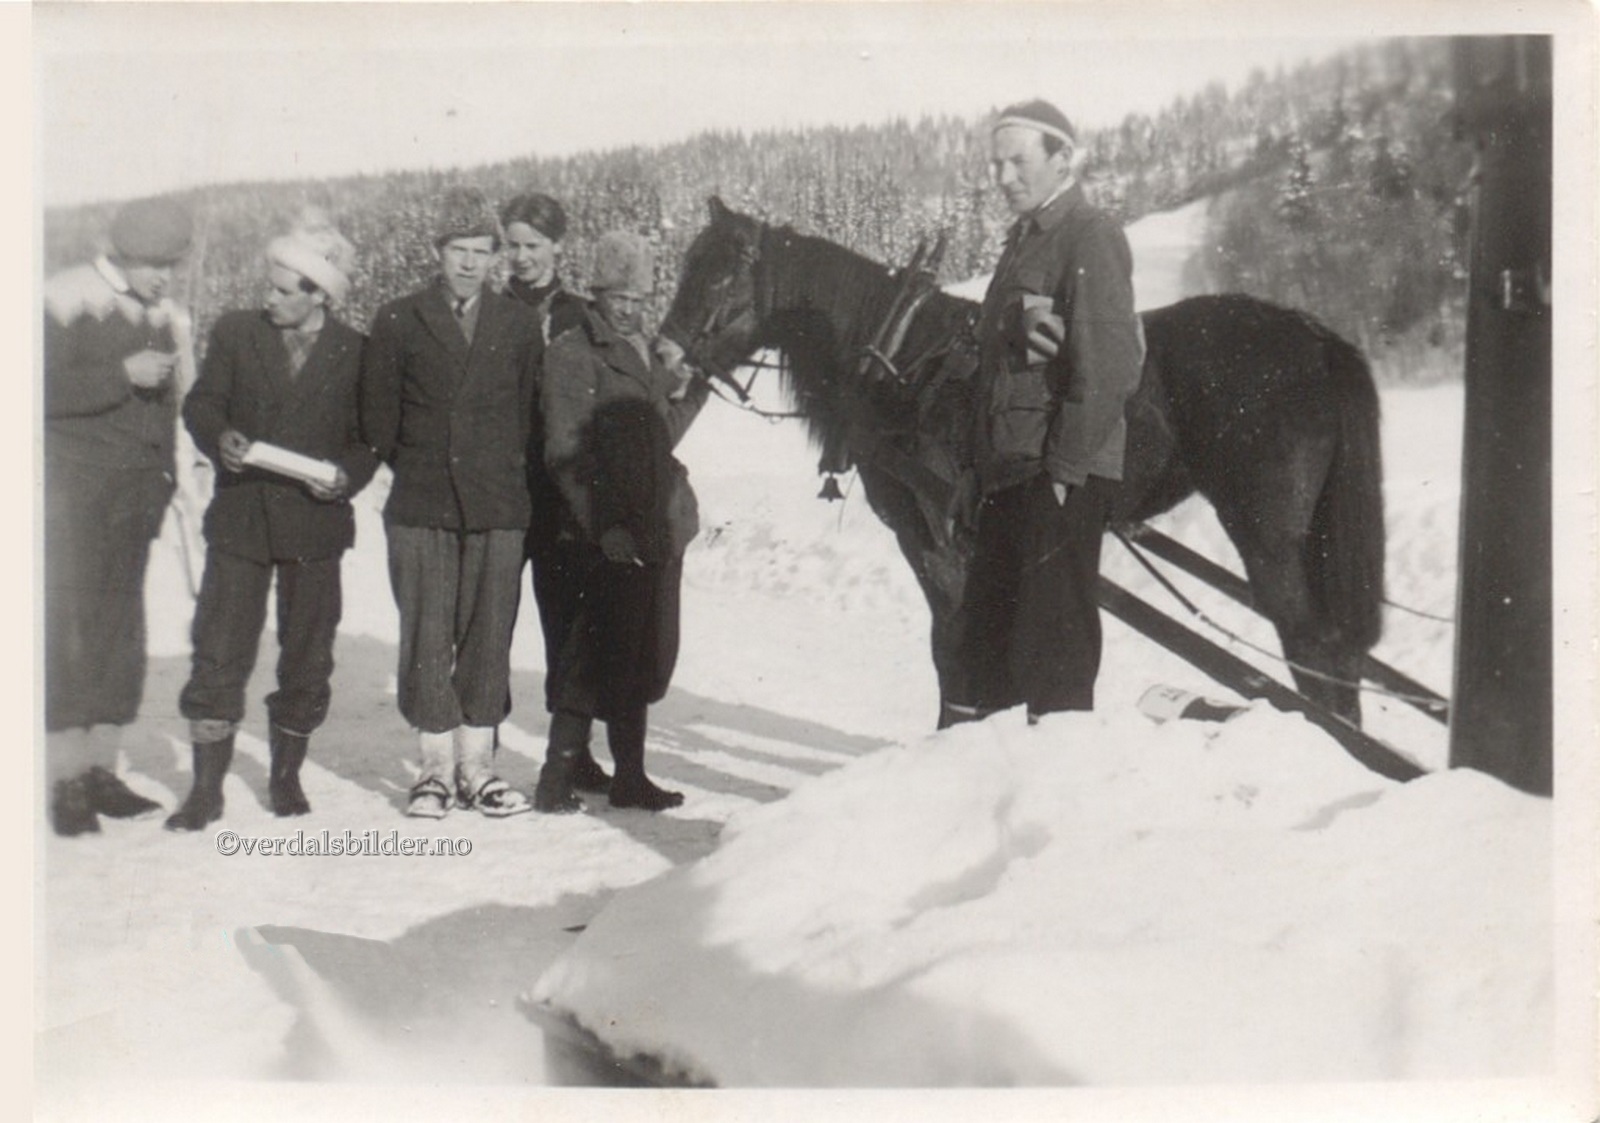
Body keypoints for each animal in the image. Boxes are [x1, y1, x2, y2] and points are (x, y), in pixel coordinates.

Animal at [660, 197, 1384, 729]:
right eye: (686, 265)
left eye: (721, 274)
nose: (664, 356)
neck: (902, 356)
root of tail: (1316, 338)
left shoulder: (937, 533)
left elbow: (952, 641)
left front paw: (958, 727)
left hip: (1269, 533)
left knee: (1314, 646)